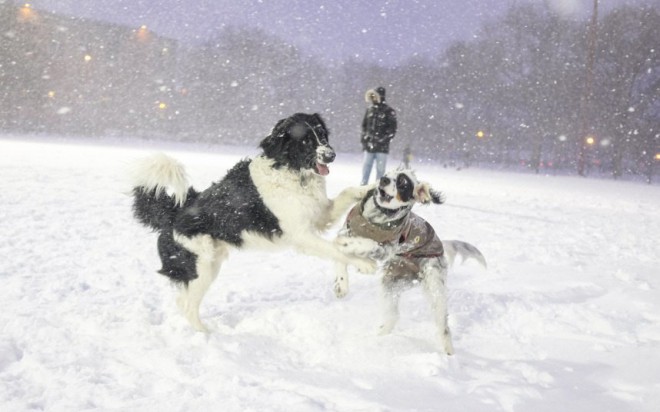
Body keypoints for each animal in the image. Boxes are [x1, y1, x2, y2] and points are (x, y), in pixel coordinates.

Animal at [131, 112, 374, 332]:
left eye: (322, 135)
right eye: (305, 140)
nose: (331, 155)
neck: (290, 170)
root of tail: (173, 213)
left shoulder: (320, 216)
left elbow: (348, 194)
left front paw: (372, 188)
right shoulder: (301, 236)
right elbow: (336, 248)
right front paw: (364, 264)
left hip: (211, 263)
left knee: (184, 301)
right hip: (201, 266)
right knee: (187, 305)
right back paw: (207, 335)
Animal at [336, 169, 484, 352]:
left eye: (403, 182)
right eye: (388, 174)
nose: (383, 180)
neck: (375, 219)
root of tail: (441, 246)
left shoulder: (387, 248)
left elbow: (367, 243)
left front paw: (350, 244)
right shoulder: (346, 229)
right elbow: (341, 260)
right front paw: (341, 285)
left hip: (435, 287)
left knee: (443, 325)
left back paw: (448, 351)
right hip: (391, 282)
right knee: (393, 316)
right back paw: (380, 335)